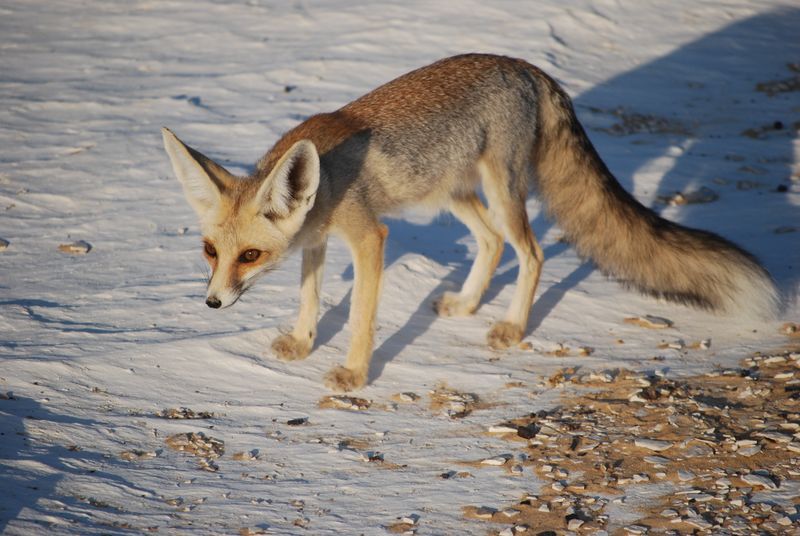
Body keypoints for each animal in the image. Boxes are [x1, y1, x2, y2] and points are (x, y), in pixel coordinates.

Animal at [162, 53, 779, 392]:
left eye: (250, 256)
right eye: (210, 251)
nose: (212, 303)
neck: (328, 181)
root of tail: (528, 67)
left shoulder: (368, 236)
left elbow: (360, 318)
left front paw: (355, 376)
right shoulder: (317, 240)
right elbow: (310, 298)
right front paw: (302, 342)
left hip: (501, 190)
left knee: (530, 252)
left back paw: (510, 326)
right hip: (455, 193)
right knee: (492, 244)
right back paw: (467, 303)